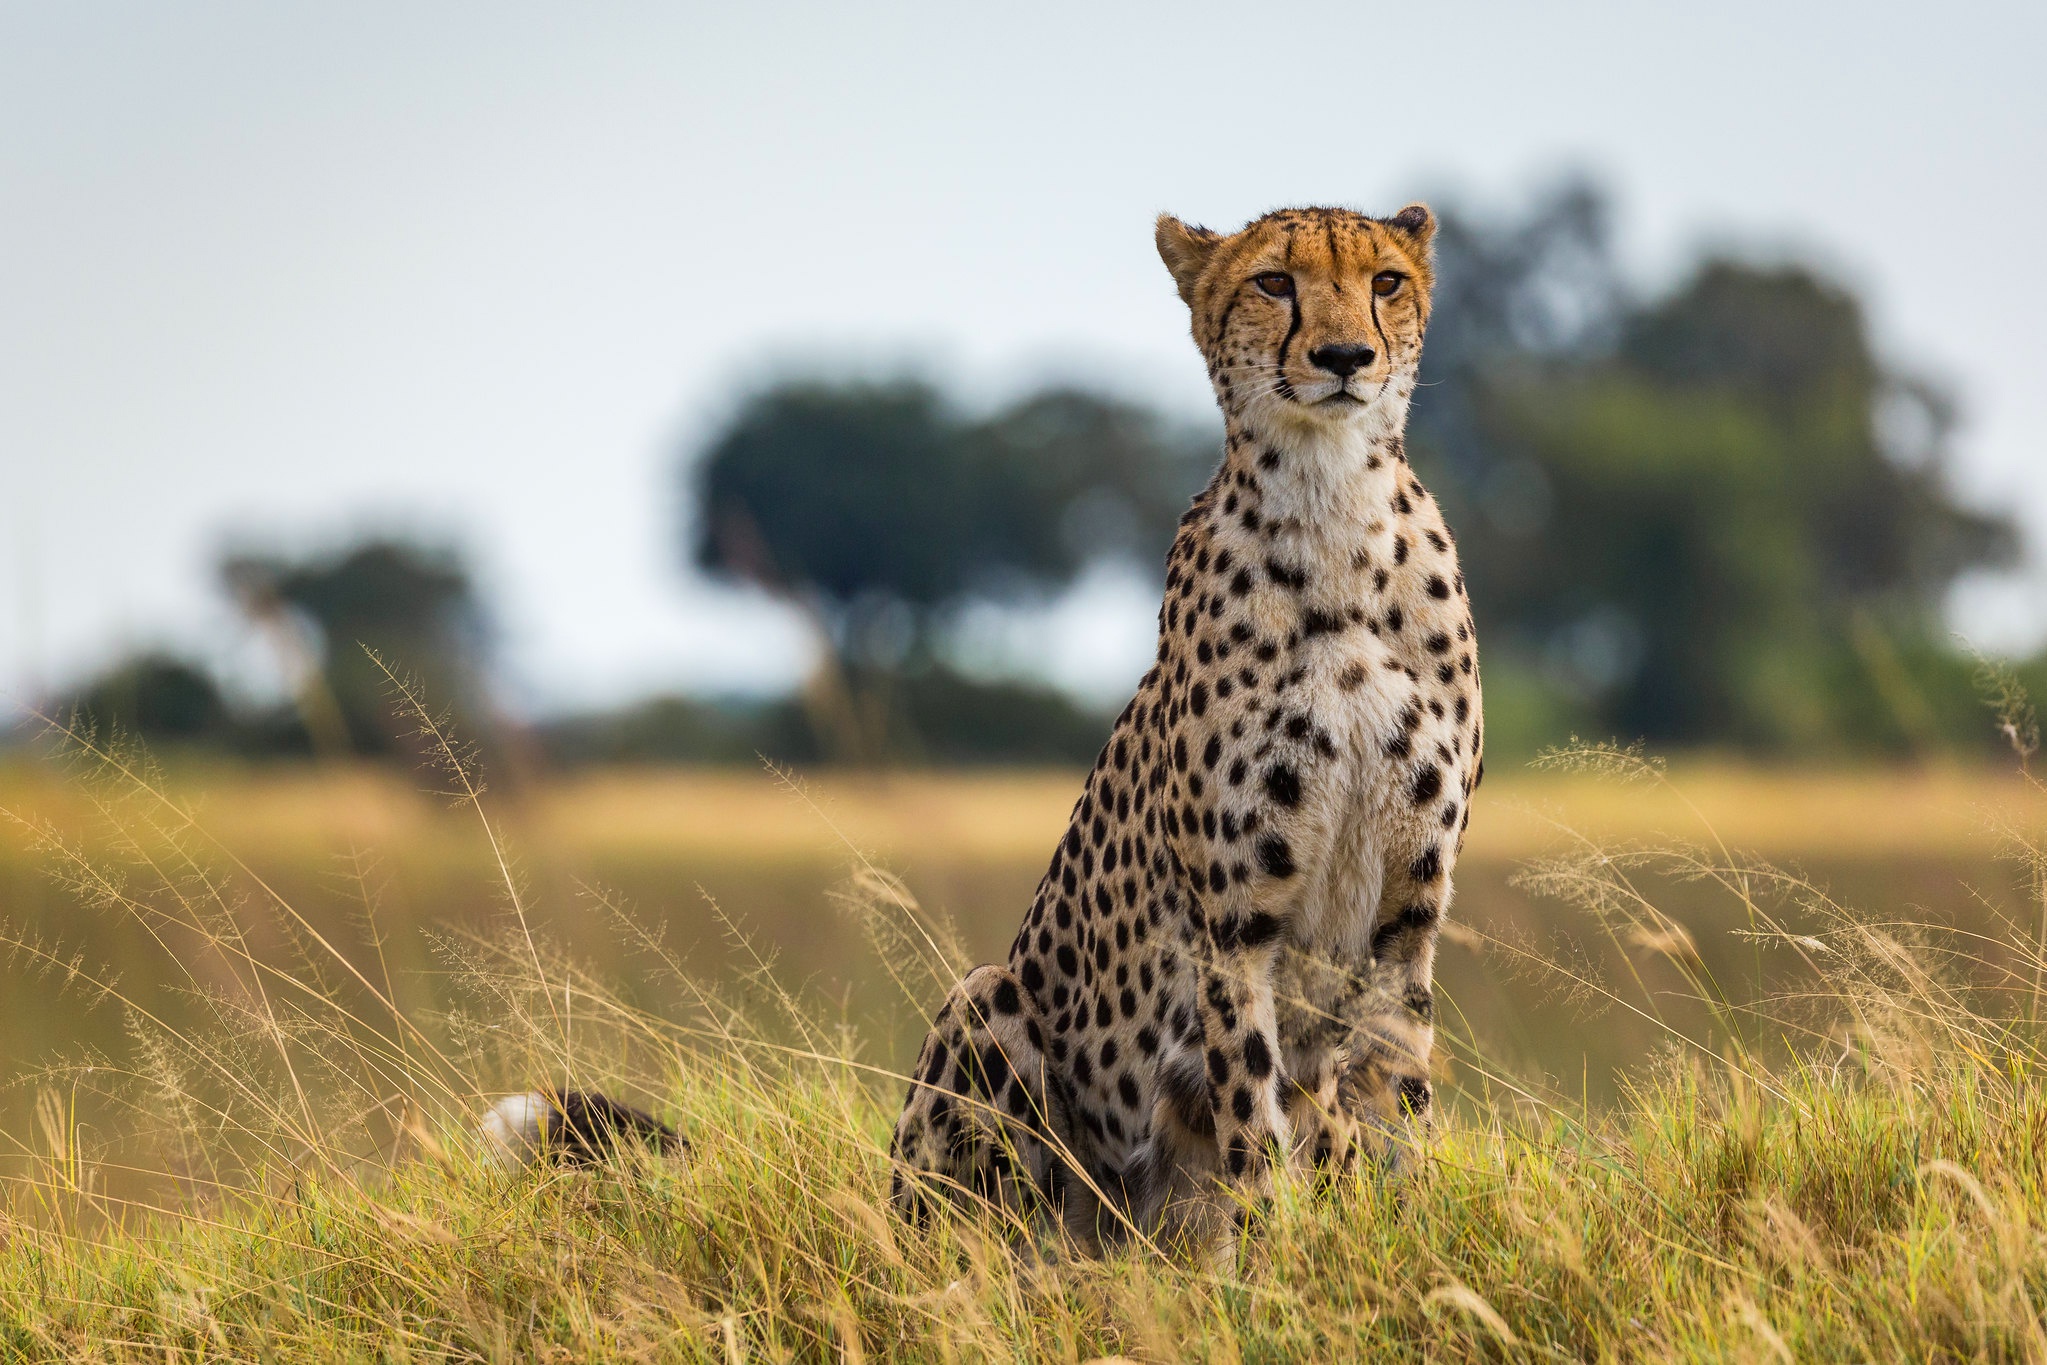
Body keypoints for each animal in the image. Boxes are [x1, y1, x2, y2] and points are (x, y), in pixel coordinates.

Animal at [888, 197, 1482, 1252]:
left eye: (1384, 282)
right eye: (1273, 282)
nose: (1343, 356)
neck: (1336, 509)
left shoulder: (1409, 912)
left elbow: (1394, 1085)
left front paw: (1405, 1244)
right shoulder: (1232, 921)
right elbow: (1250, 1098)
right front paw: (1272, 1253)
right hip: (988, 1009)